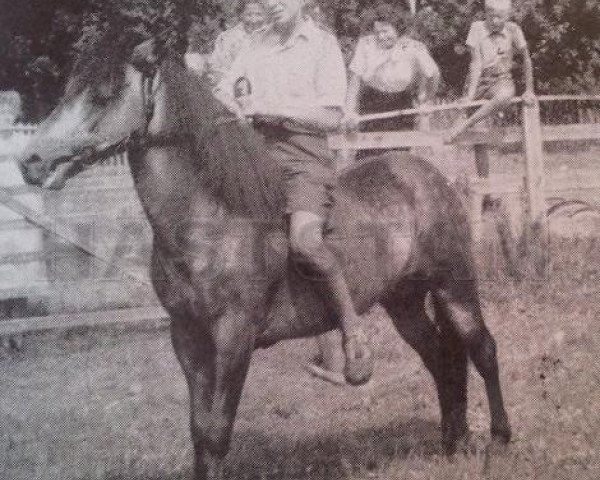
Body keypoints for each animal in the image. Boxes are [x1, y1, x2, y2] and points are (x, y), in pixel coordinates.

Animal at [18, 43, 510, 478]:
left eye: (104, 94)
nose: (31, 160)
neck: (212, 223)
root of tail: (429, 175)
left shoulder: (234, 338)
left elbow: (217, 432)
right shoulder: (188, 339)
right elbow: (199, 431)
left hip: (454, 286)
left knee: (482, 350)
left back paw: (498, 441)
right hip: (404, 301)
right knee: (442, 358)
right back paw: (452, 443)